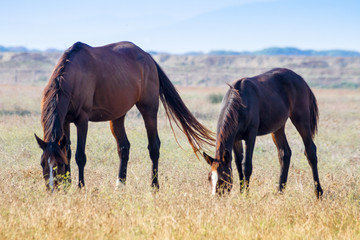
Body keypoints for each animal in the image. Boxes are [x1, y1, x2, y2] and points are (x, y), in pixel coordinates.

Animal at [34, 41, 214, 191]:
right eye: (42, 163)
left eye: (58, 164)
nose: (51, 189)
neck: (73, 75)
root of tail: (148, 57)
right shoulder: (65, 121)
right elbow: (69, 152)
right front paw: (68, 184)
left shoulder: (82, 121)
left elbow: (80, 156)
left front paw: (80, 187)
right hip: (118, 116)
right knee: (124, 147)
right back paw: (120, 184)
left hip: (149, 109)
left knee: (154, 146)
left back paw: (154, 186)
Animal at [202, 68, 324, 199]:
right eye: (209, 178)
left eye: (223, 178)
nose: (216, 197)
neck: (240, 101)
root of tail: (300, 79)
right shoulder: (235, 139)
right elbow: (238, 165)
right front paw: (241, 192)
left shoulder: (250, 136)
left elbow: (246, 166)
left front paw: (246, 195)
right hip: (278, 128)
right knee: (284, 153)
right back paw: (280, 191)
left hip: (301, 121)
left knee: (310, 152)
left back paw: (318, 191)